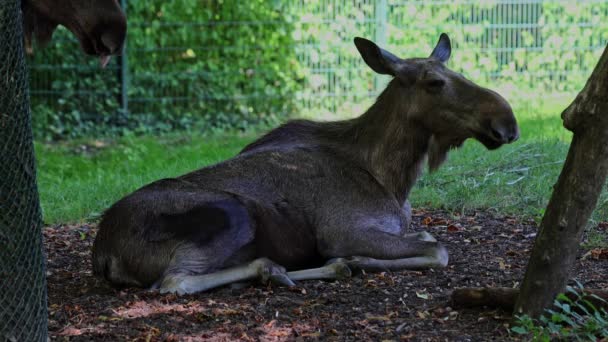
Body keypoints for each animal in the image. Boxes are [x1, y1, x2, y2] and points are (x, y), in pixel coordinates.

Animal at [92, 34, 520, 294]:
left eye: (456, 72)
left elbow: (430, 238)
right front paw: (354, 260)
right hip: (231, 214)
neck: (394, 178)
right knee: (174, 282)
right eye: (434, 82)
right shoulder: (343, 231)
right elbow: (439, 250)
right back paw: (272, 269)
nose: (507, 122)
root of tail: (102, 253)